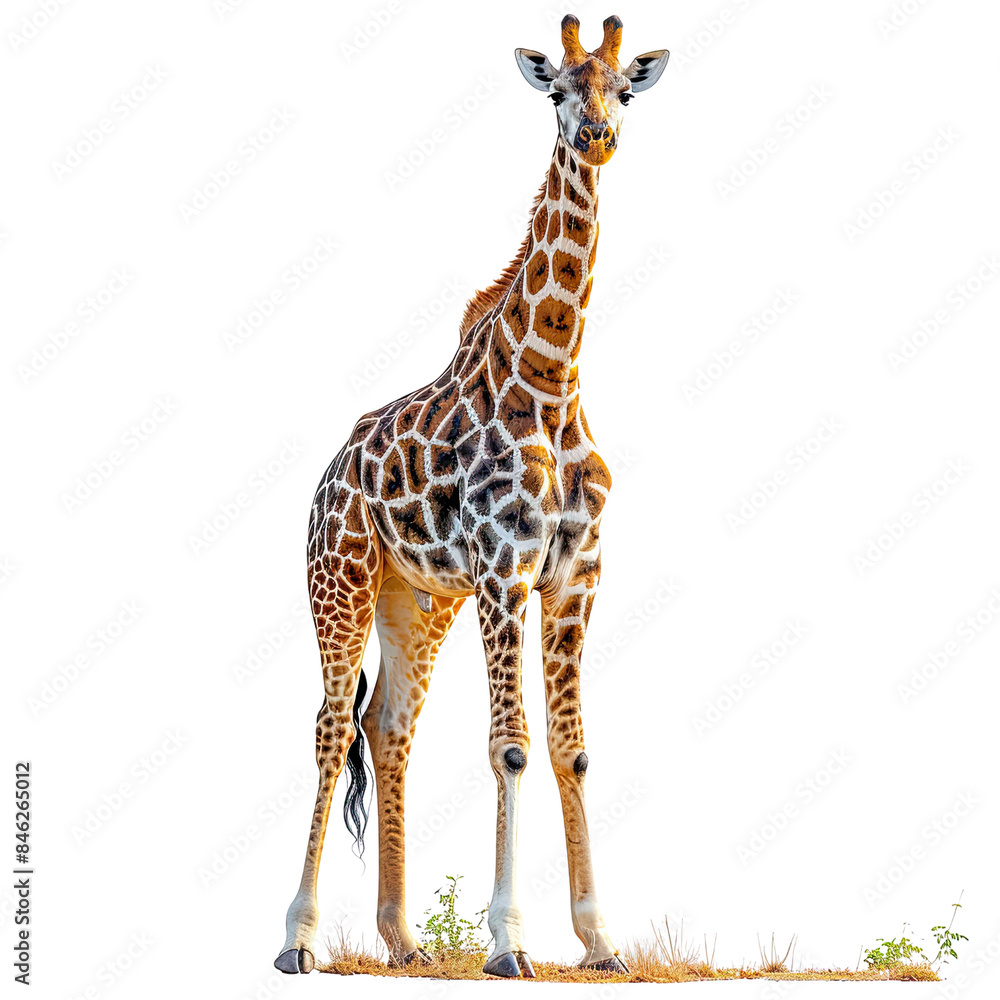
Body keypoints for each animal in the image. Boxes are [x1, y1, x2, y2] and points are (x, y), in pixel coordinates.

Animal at [274, 14, 670, 979]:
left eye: (624, 90)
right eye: (559, 88)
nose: (597, 136)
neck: (553, 378)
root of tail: (326, 476)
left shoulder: (574, 576)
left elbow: (572, 751)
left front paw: (601, 941)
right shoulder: (504, 570)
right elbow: (514, 748)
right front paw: (508, 942)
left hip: (416, 600)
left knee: (388, 729)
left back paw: (404, 939)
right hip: (339, 582)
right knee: (331, 727)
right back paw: (297, 938)